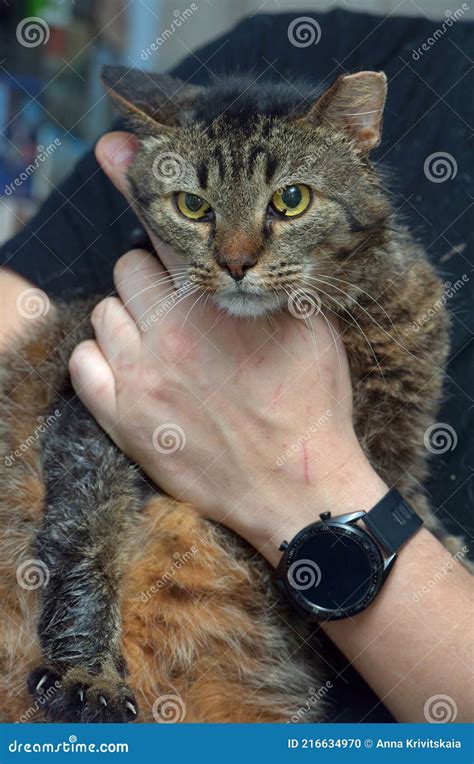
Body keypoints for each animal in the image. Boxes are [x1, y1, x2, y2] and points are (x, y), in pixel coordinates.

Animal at [0, 65, 462, 724]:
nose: (237, 262)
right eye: (193, 206)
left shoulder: (399, 441)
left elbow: (410, 505)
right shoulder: (87, 420)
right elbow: (82, 547)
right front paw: (89, 674)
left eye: (291, 200)